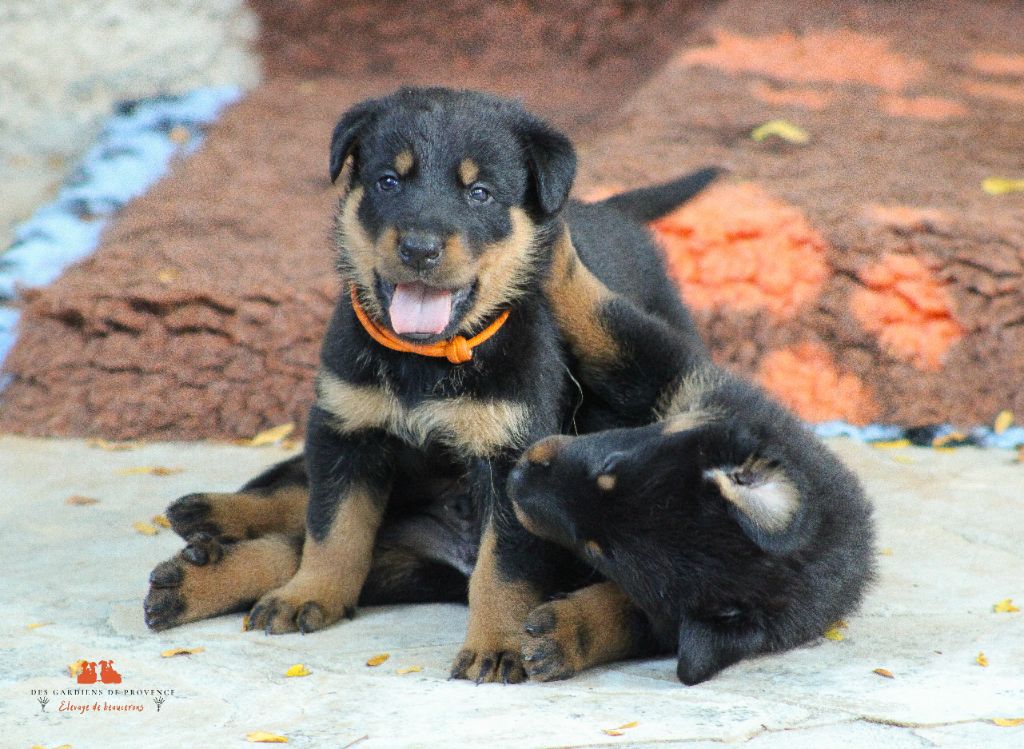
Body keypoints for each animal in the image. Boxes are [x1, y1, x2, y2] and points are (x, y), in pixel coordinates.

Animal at [142, 88, 720, 684]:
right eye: (388, 183)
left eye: (480, 194)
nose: (420, 249)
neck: (427, 360)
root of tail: (611, 210)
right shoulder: (345, 429)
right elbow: (332, 527)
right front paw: (310, 594)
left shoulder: (511, 460)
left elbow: (502, 570)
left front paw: (497, 646)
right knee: (298, 511)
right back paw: (205, 537)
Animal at [507, 234, 876, 684]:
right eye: (609, 465)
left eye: (599, 550)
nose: (515, 482)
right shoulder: (676, 375)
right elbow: (600, 318)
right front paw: (553, 239)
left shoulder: (663, 618)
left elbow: (625, 616)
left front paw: (565, 634)